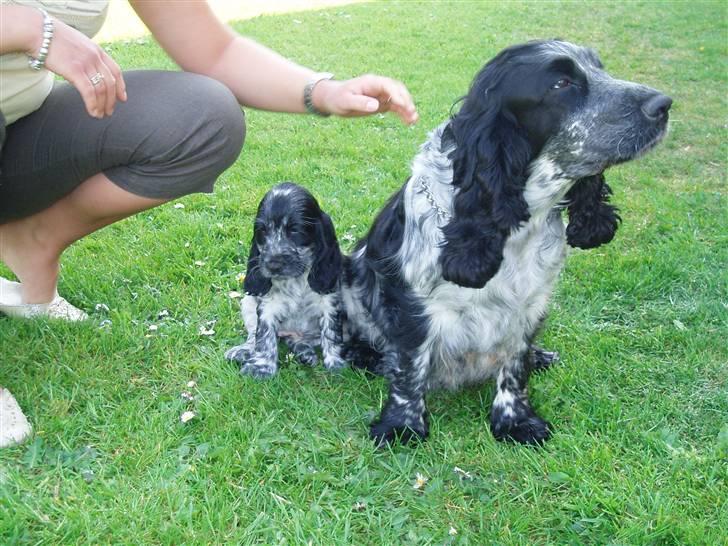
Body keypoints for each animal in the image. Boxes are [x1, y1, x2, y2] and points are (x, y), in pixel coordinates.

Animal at [225, 181, 346, 376]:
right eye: (262, 231)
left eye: (295, 230)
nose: (273, 265)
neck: (297, 278)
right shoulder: (268, 304)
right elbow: (264, 336)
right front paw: (261, 366)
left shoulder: (330, 301)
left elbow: (331, 332)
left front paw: (336, 363)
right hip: (247, 302)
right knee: (253, 335)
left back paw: (305, 353)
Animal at [342, 40, 672, 444]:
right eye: (561, 83)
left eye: (600, 69)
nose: (663, 104)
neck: (516, 226)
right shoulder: (411, 305)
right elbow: (409, 368)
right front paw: (401, 427)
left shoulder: (529, 306)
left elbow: (515, 367)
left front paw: (516, 421)